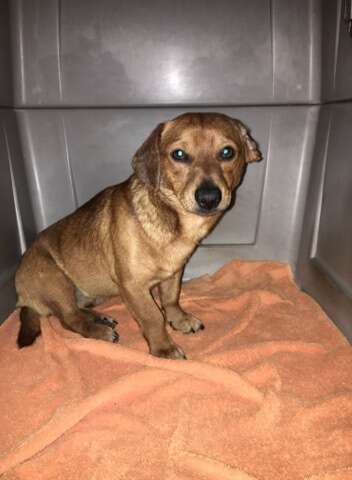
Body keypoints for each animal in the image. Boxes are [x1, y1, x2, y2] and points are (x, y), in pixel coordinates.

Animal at [15, 112, 260, 358]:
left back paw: (99, 318)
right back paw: (98, 331)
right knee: (69, 319)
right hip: (55, 280)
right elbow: (153, 318)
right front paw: (163, 348)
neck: (177, 224)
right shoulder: (133, 286)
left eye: (227, 152)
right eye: (179, 154)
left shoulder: (174, 273)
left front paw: (179, 320)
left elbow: (171, 300)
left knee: (74, 311)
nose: (209, 198)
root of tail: (22, 299)